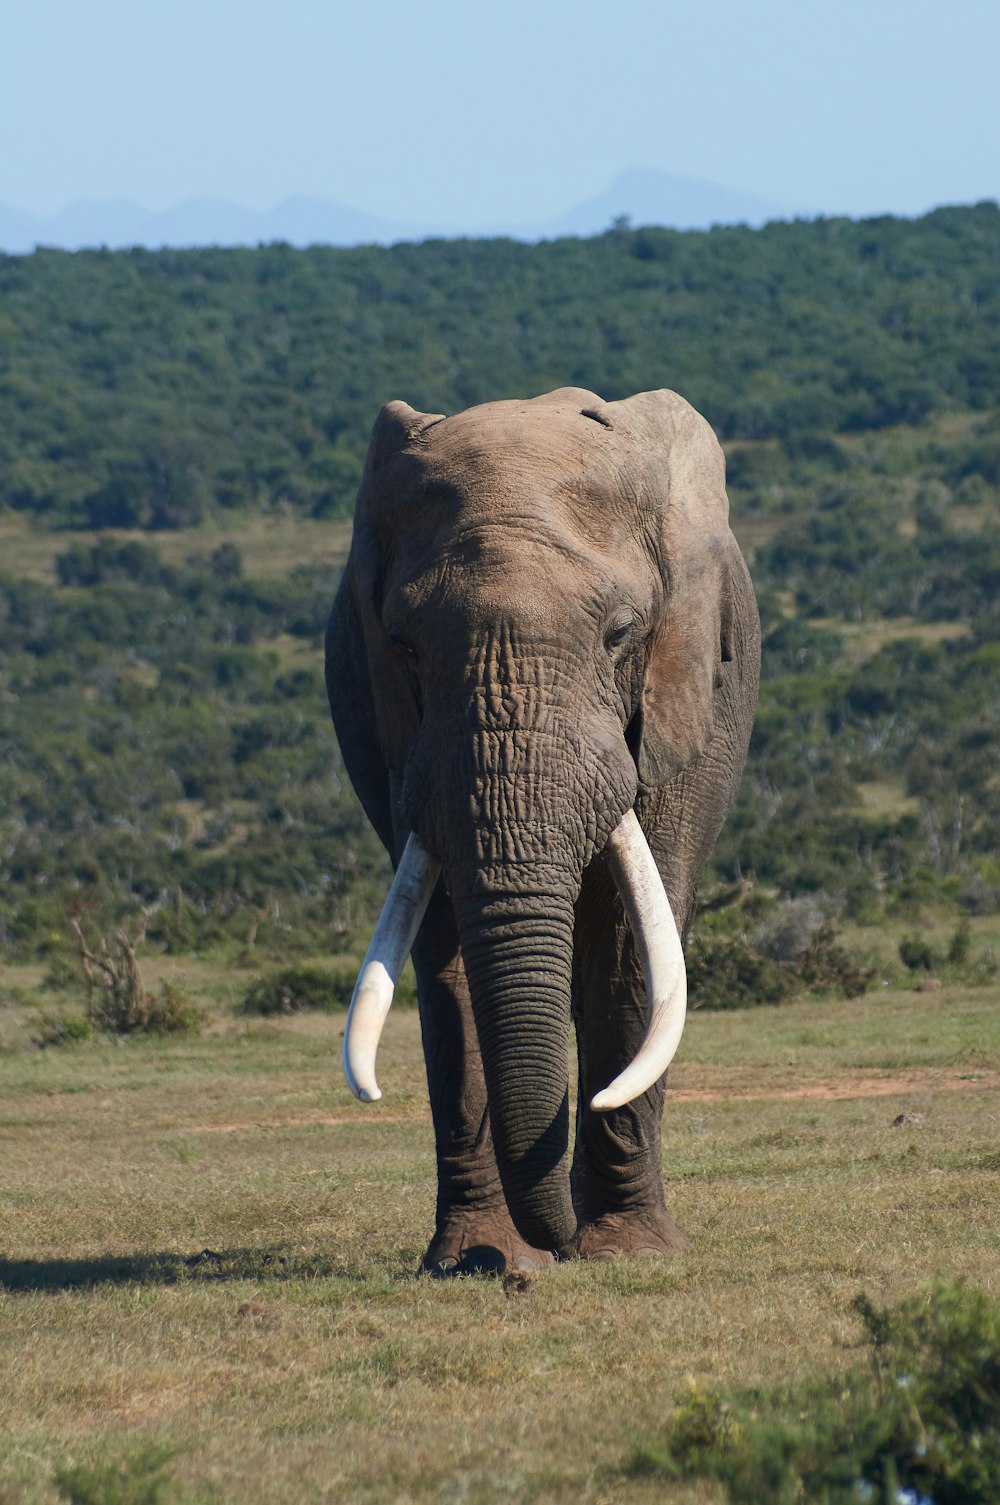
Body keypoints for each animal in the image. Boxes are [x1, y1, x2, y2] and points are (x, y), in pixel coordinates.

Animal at [326, 388, 759, 1270]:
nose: (553, 1248)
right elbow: (445, 945)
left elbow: (629, 940)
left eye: (621, 633)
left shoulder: (682, 706)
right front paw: (476, 1260)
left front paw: (630, 1253)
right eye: (403, 646)